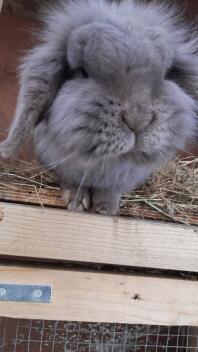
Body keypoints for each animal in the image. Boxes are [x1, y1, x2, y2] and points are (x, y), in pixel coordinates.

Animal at [0, 0, 198, 214]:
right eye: (82, 72)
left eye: (166, 74)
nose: (138, 119)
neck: (106, 163)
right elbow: (71, 182)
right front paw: (77, 203)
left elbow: (111, 191)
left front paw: (105, 209)